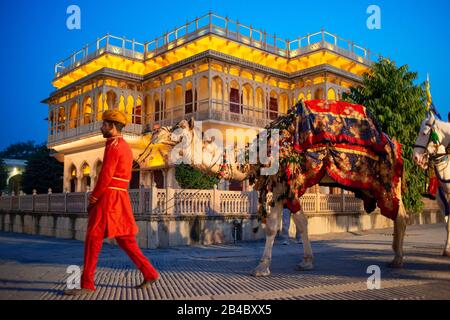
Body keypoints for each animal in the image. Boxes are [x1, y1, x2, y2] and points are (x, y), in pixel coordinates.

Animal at [149, 100, 408, 278]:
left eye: (179, 131)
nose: (156, 132)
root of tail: (394, 144)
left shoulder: (280, 184)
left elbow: (273, 226)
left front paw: (261, 267)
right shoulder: (290, 189)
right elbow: (302, 222)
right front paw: (306, 261)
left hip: (386, 181)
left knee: (400, 214)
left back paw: (397, 259)